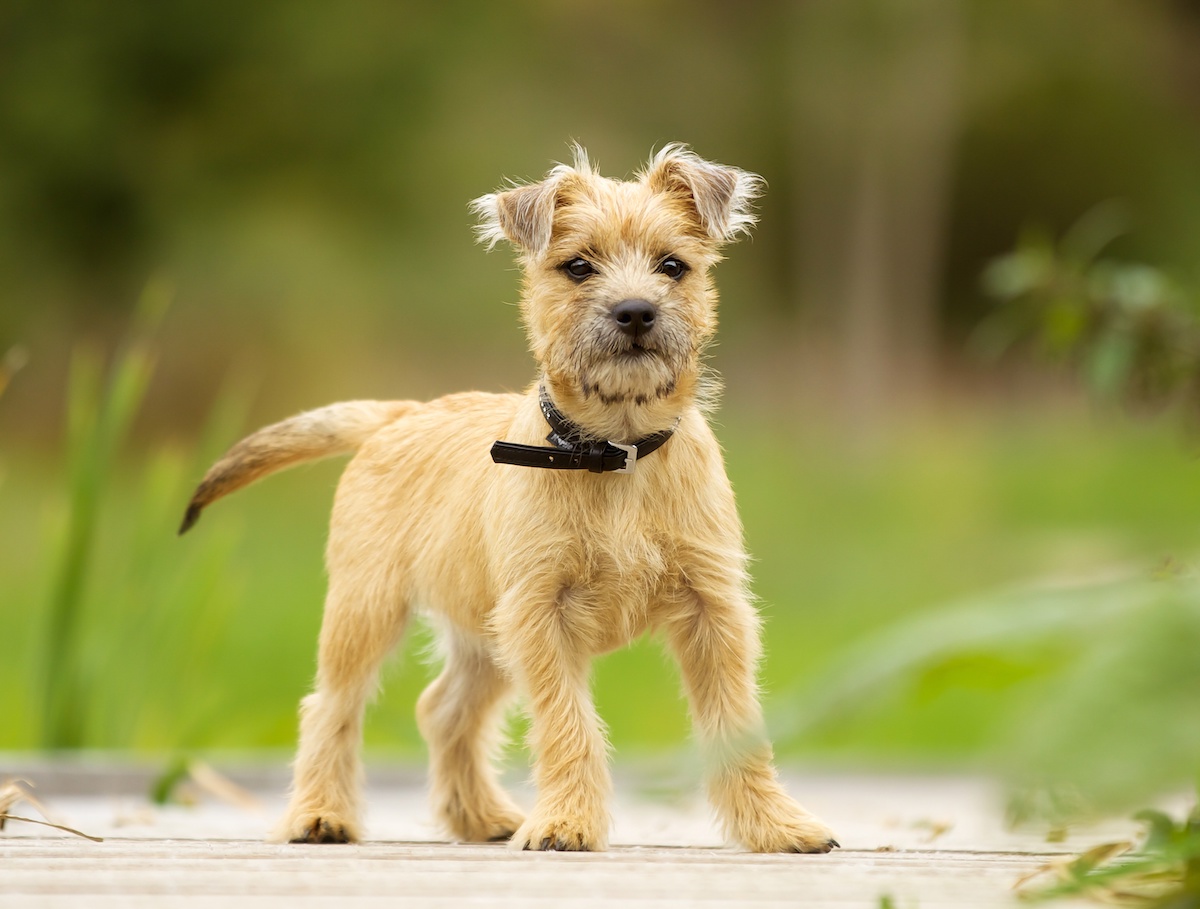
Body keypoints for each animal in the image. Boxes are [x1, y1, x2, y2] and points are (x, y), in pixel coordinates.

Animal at [180, 145, 835, 858]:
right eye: (577, 266)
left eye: (672, 266)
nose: (635, 312)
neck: (615, 451)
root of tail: (398, 413)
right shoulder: (541, 614)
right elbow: (567, 723)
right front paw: (567, 823)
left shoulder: (711, 611)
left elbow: (737, 726)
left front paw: (775, 825)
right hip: (367, 607)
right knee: (332, 705)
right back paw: (320, 815)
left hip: (482, 628)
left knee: (441, 709)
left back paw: (482, 816)